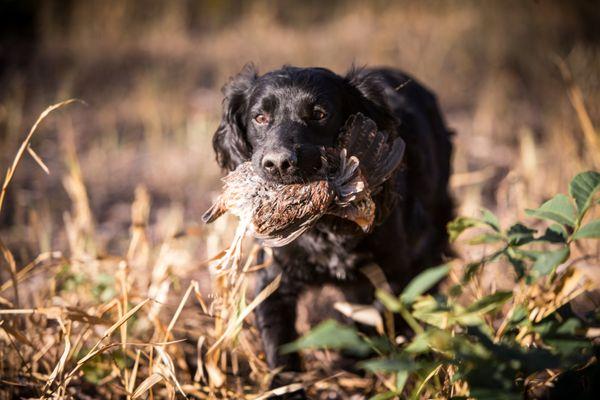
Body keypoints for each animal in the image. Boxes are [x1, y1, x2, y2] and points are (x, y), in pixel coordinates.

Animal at [213, 63, 452, 372]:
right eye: (260, 117)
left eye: (319, 114)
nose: (278, 163)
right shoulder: (273, 277)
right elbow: (278, 341)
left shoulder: (396, 272)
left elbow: (377, 319)